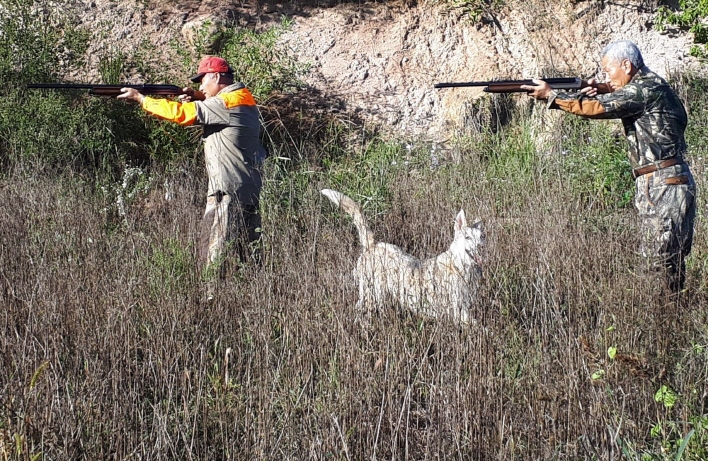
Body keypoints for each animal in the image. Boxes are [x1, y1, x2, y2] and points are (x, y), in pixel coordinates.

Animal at [322, 188, 484, 324]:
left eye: (482, 237)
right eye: (468, 237)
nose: (481, 246)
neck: (461, 266)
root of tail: (372, 245)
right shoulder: (459, 311)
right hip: (371, 295)